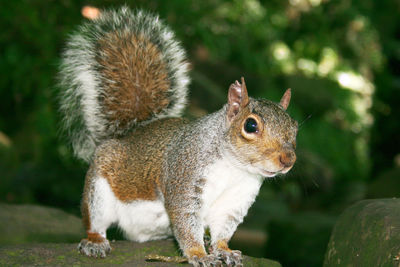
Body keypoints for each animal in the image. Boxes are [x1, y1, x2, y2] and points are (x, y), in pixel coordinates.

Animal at [58, 5, 296, 266]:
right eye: (250, 126)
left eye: (295, 128)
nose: (288, 160)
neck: (235, 168)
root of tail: (127, 135)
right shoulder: (185, 176)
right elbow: (185, 221)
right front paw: (199, 254)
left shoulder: (235, 200)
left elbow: (222, 230)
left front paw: (223, 250)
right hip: (99, 190)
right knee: (95, 220)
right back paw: (95, 242)